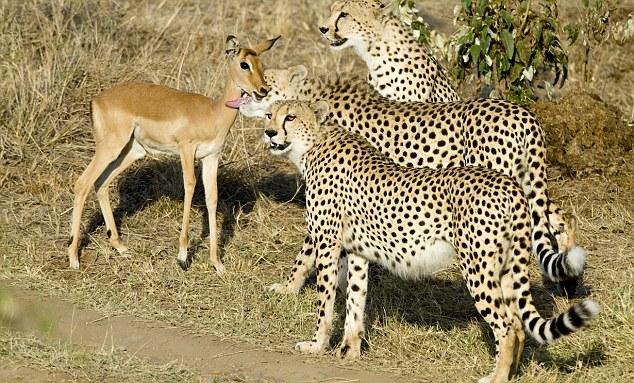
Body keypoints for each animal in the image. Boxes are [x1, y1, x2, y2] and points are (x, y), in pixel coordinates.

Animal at [66, 35, 278, 272]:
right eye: (244, 64)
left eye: (261, 64)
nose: (263, 89)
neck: (212, 114)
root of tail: (96, 100)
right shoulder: (186, 150)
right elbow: (190, 186)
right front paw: (183, 256)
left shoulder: (211, 158)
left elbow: (212, 198)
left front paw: (217, 263)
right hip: (110, 147)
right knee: (82, 183)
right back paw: (73, 257)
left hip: (131, 151)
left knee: (101, 183)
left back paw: (119, 245)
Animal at [241, 68, 584, 296]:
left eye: (264, 84)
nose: (243, 94)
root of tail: (522, 112)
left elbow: (307, 250)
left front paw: (288, 287)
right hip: (525, 181)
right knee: (559, 217)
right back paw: (570, 281)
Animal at [262, 100, 596, 383]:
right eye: (269, 115)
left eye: (290, 117)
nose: (269, 132)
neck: (313, 144)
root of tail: (509, 185)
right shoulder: (357, 251)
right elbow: (356, 298)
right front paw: (350, 350)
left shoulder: (328, 244)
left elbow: (325, 302)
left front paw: (316, 344)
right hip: (506, 264)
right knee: (517, 322)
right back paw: (511, 372)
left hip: (478, 267)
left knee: (505, 326)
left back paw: (497, 377)